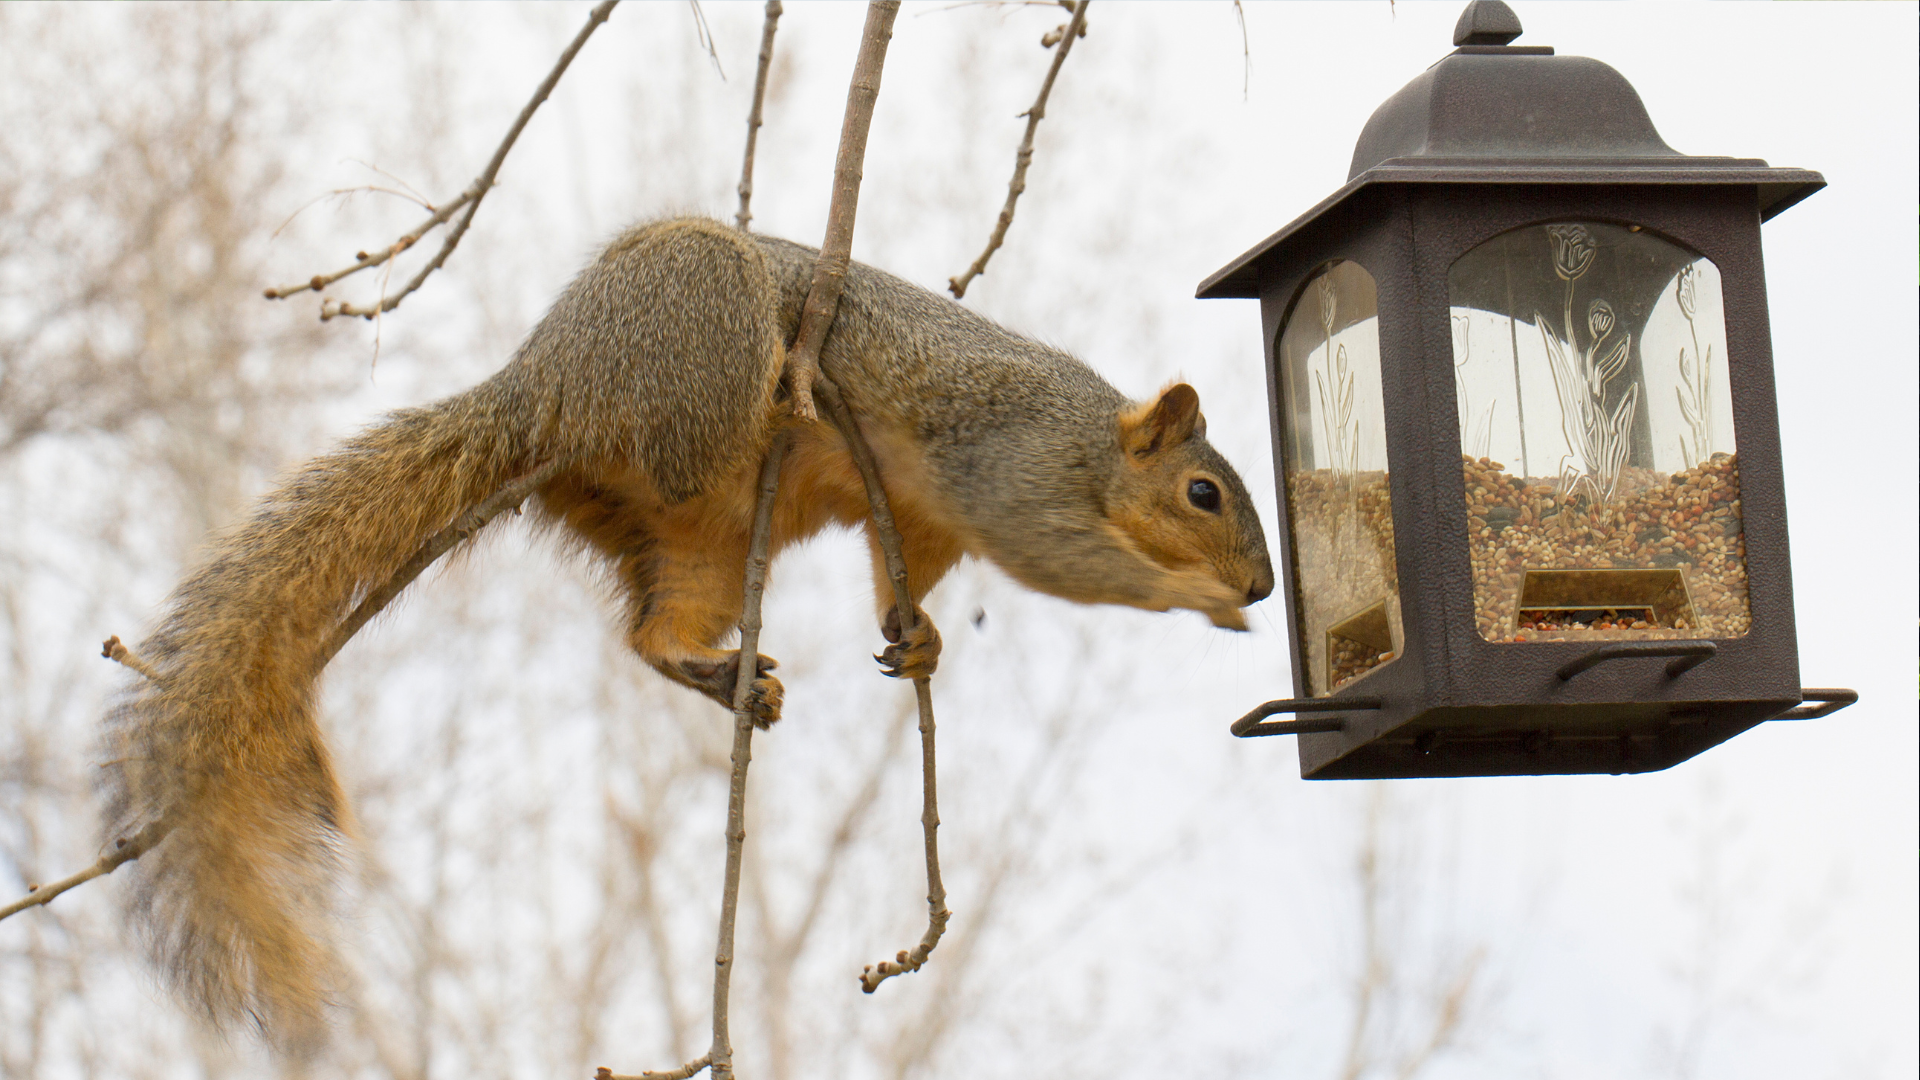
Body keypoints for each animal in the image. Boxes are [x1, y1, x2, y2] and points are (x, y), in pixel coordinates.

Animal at [101, 214, 1274, 1045]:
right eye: (1205, 493)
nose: (1264, 587)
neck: (1092, 442)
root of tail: (543, 388)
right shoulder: (1012, 472)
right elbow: (1062, 558)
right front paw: (1197, 601)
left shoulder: (925, 517)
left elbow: (902, 579)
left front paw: (923, 638)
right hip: (699, 325)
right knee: (693, 425)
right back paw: (785, 388)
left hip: (697, 542)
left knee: (653, 630)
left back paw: (718, 673)